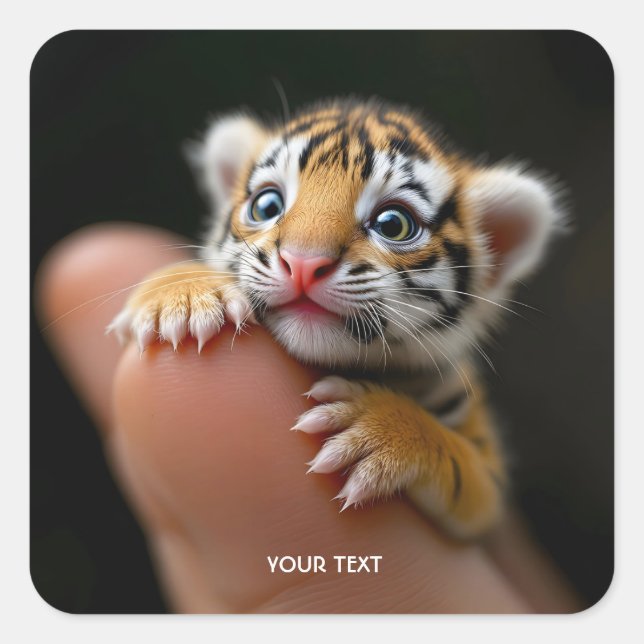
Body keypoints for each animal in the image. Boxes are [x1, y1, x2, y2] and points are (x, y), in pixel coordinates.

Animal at [108, 97, 562, 539]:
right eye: (267, 205)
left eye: (393, 224)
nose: (303, 263)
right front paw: (183, 294)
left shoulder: (490, 487)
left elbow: (461, 466)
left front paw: (380, 432)